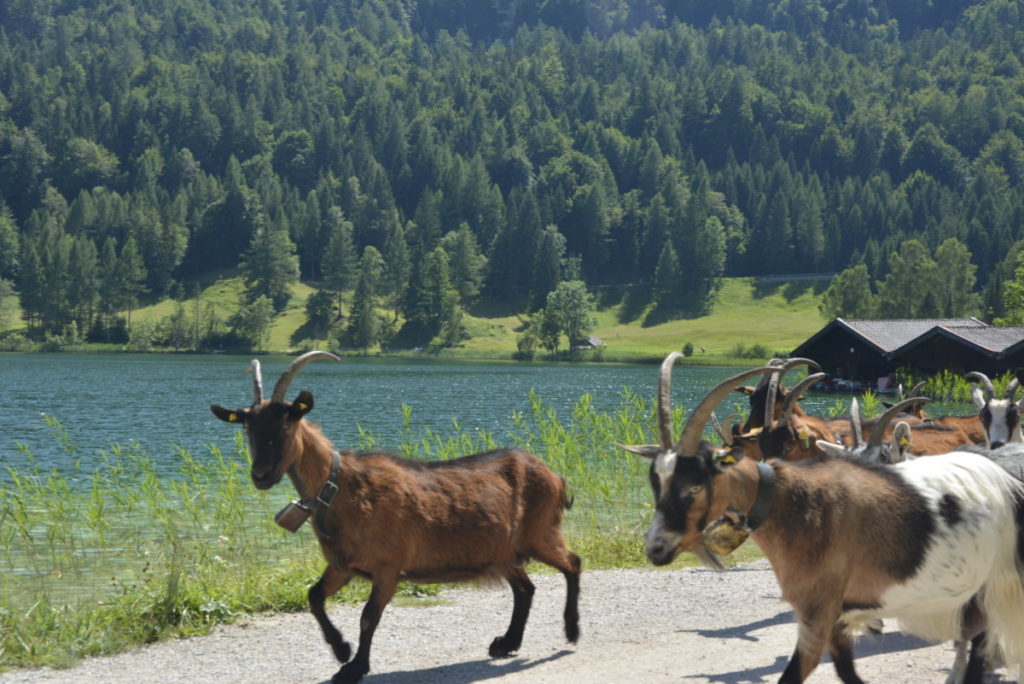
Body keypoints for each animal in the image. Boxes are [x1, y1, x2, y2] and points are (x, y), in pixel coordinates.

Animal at [211, 352, 581, 684]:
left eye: (287, 422)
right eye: (247, 427)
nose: (261, 475)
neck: (339, 487)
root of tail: (555, 476)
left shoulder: (388, 567)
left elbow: (368, 617)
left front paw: (353, 668)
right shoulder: (343, 564)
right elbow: (314, 597)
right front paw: (341, 650)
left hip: (542, 533)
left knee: (572, 563)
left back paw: (571, 630)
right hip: (504, 552)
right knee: (525, 588)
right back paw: (506, 643)